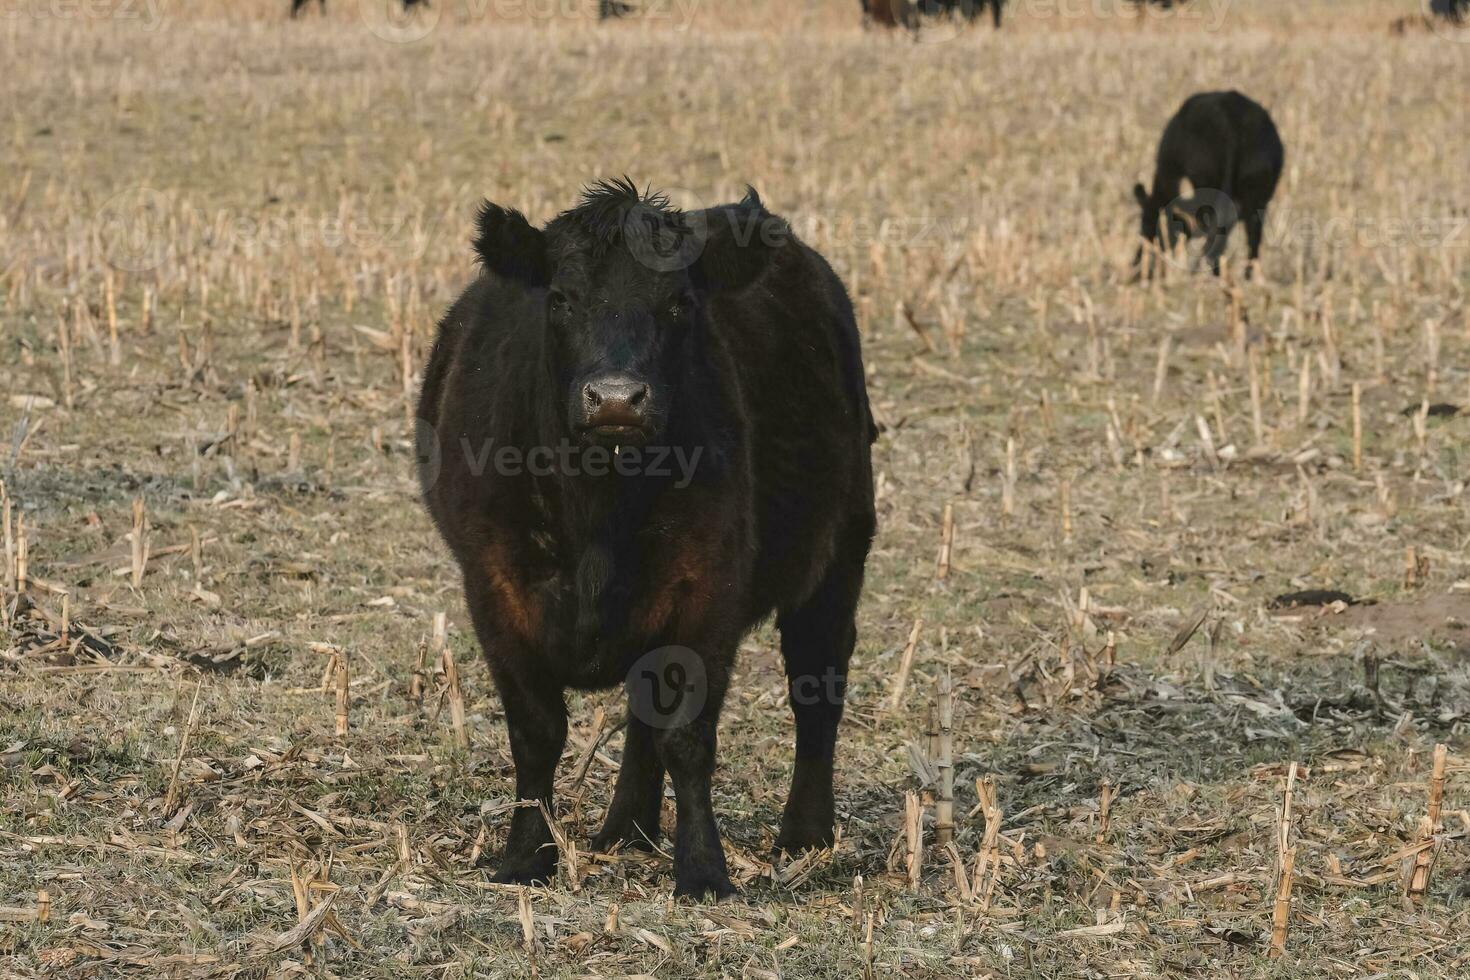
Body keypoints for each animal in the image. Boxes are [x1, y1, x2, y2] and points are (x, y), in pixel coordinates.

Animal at [417, 179, 870, 899]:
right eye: (561, 298)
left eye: (679, 303)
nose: (616, 400)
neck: (597, 511)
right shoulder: (494, 588)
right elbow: (537, 734)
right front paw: (524, 858)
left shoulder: (708, 590)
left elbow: (688, 736)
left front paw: (704, 870)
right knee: (642, 709)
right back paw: (627, 825)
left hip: (839, 551)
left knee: (816, 684)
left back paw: (805, 835)